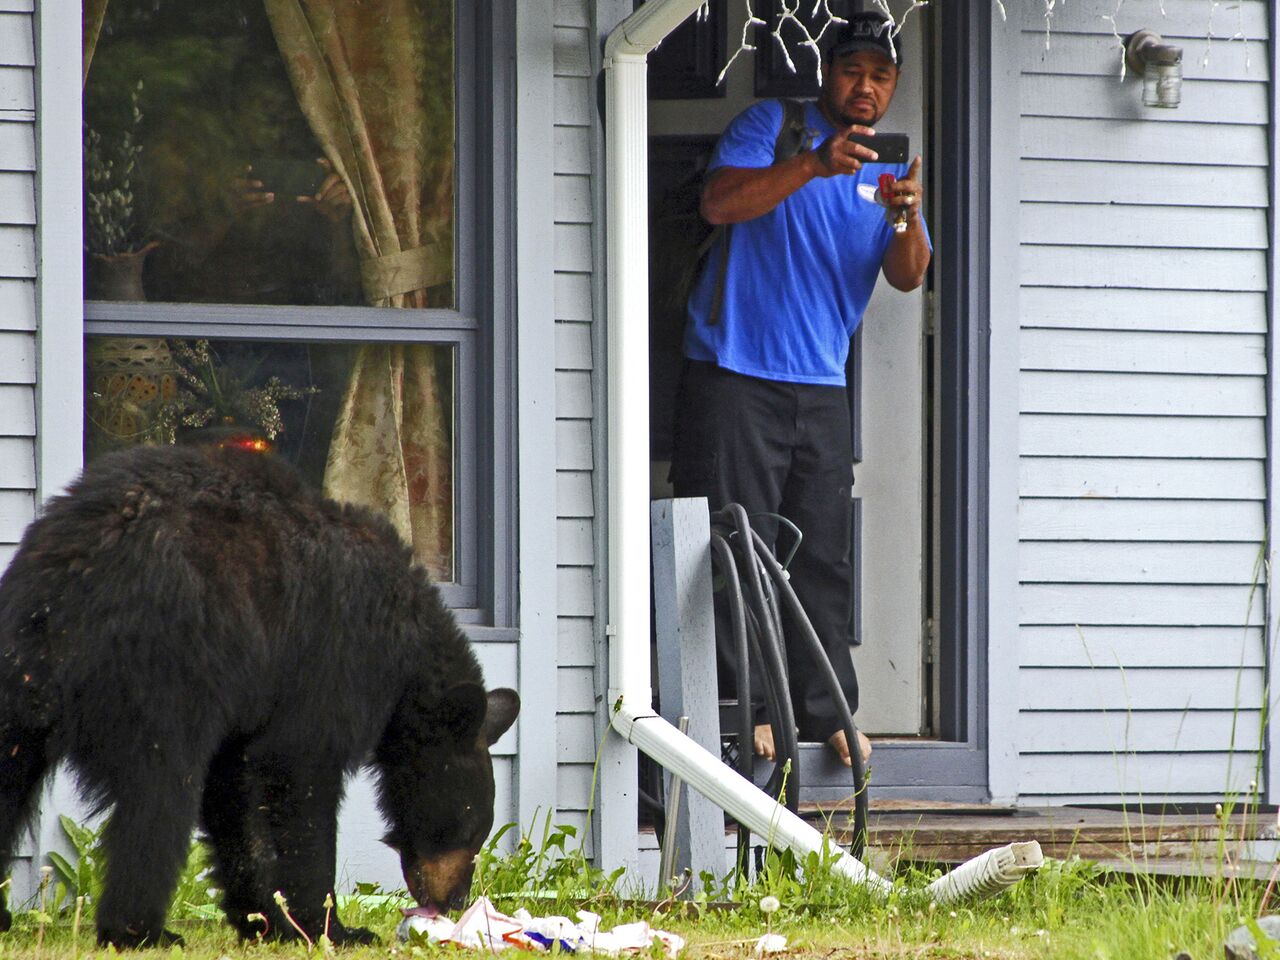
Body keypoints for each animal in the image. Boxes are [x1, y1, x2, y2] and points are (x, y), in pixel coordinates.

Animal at [0, 448, 522, 952]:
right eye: (468, 830)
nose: (456, 901)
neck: (405, 649)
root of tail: (71, 590)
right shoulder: (332, 664)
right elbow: (300, 778)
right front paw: (330, 928)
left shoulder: (246, 702)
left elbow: (232, 796)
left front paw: (265, 921)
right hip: (162, 666)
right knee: (159, 795)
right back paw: (139, 931)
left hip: (19, 669)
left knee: (12, 774)